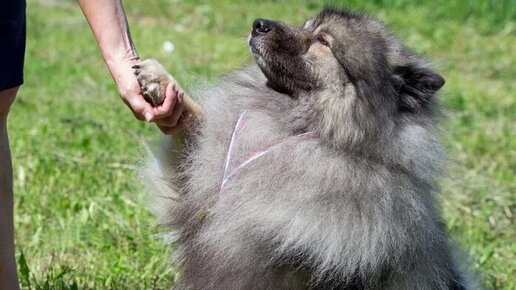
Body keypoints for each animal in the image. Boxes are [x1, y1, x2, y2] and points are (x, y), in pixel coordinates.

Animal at [138, 6, 476, 290]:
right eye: (306, 26)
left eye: (323, 42)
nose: (258, 23)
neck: (298, 131)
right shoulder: (189, 190)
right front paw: (159, 81)